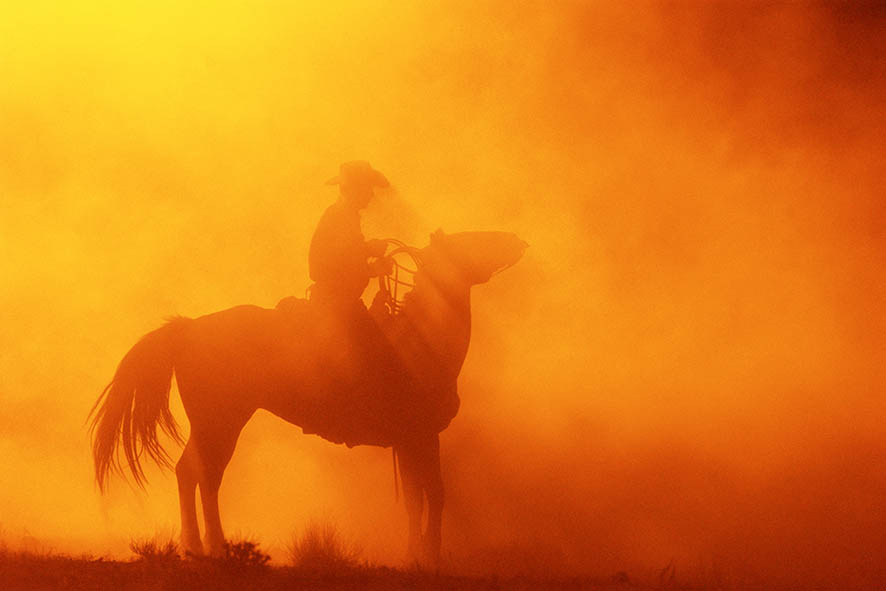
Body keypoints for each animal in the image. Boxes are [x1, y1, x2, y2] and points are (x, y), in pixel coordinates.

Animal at [92, 229, 528, 568]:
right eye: (471, 240)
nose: (517, 241)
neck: (423, 342)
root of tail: (188, 329)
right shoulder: (423, 436)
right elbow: (435, 495)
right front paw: (432, 559)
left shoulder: (407, 441)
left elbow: (414, 500)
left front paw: (413, 557)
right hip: (221, 420)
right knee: (206, 476)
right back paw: (215, 549)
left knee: (189, 472)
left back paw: (197, 549)